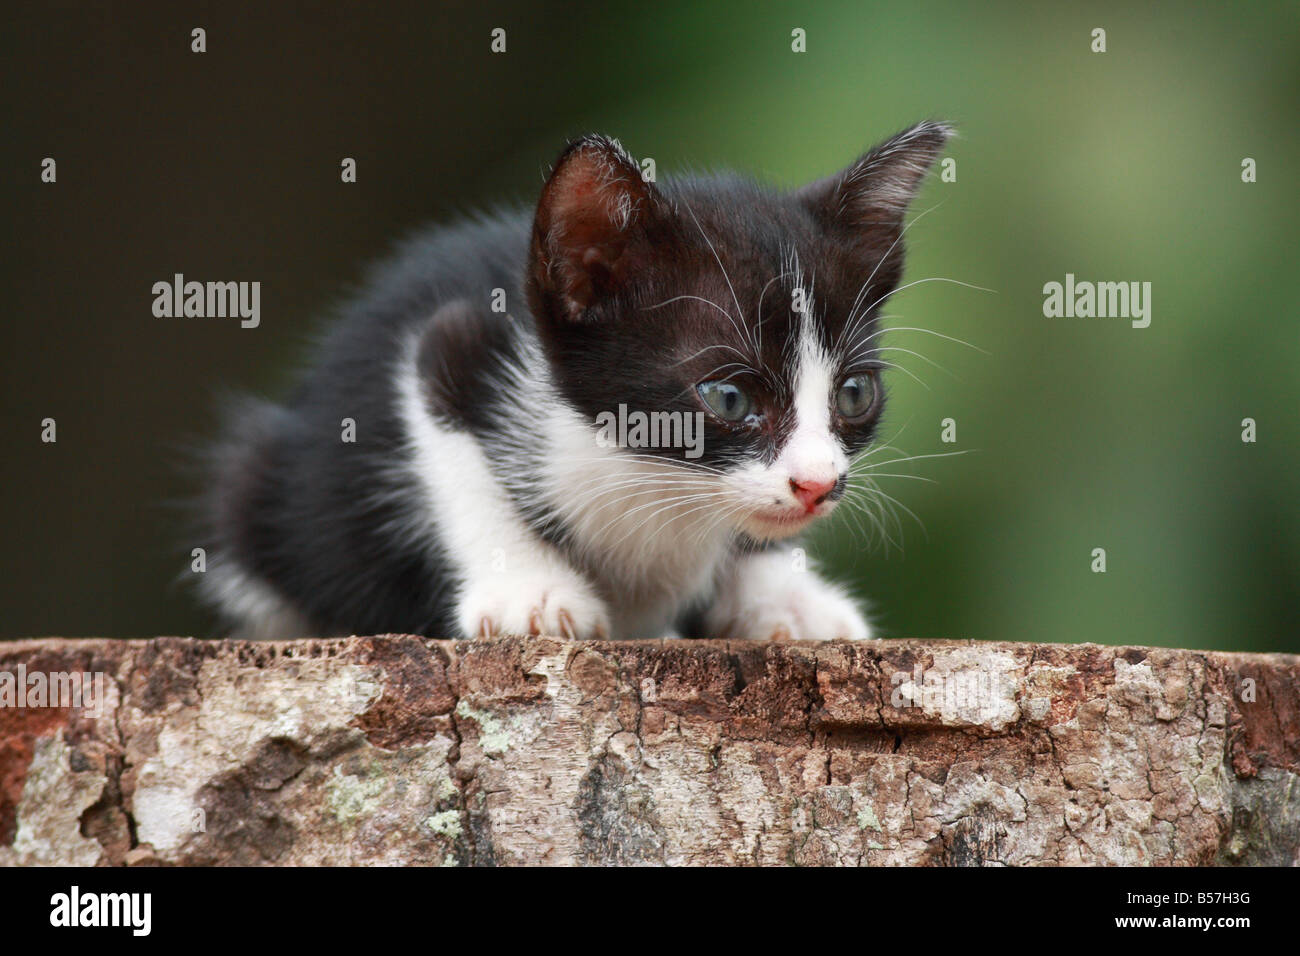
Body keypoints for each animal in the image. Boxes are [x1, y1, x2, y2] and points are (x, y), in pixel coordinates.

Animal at [200, 121, 956, 642]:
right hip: (254, 486)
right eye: (730, 397)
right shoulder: (450, 346)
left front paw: (784, 596)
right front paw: (527, 590)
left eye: (853, 394)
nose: (818, 485)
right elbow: (455, 459)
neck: (647, 473)